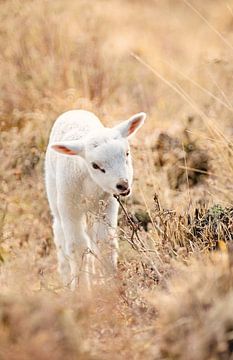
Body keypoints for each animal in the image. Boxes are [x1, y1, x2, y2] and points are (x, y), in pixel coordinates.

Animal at [44, 109, 145, 290]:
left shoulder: (108, 203)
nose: (123, 185)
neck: (89, 183)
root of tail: (74, 110)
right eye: (95, 166)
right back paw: (67, 280)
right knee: (60, 236)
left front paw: (111, 284)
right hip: (55, 196)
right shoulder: (69, 207)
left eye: (127, 153)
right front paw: (82, 290)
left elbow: (105, 242)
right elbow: (77, 247)